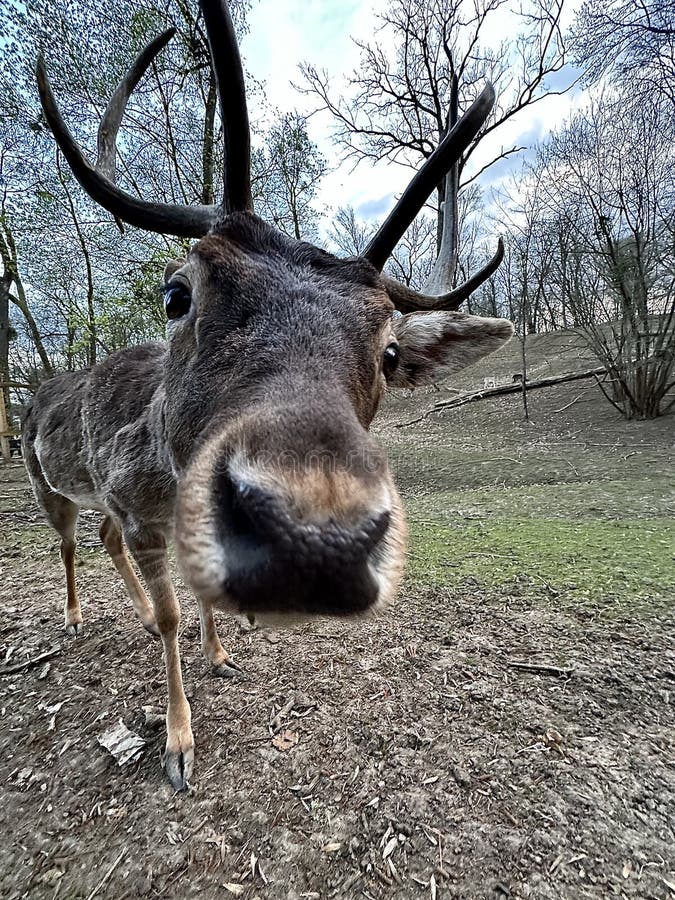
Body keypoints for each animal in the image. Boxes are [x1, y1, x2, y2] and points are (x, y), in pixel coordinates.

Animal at [23, 0, 516, 788]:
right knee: (71, 541)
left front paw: (221, 655)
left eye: (388, 353)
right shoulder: (133, 503)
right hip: (44, 481)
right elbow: (172, 613)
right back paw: (74, 616)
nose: (313, 535)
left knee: (99, 537)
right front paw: (178, 745)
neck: (162, 479)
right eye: (176, 293)